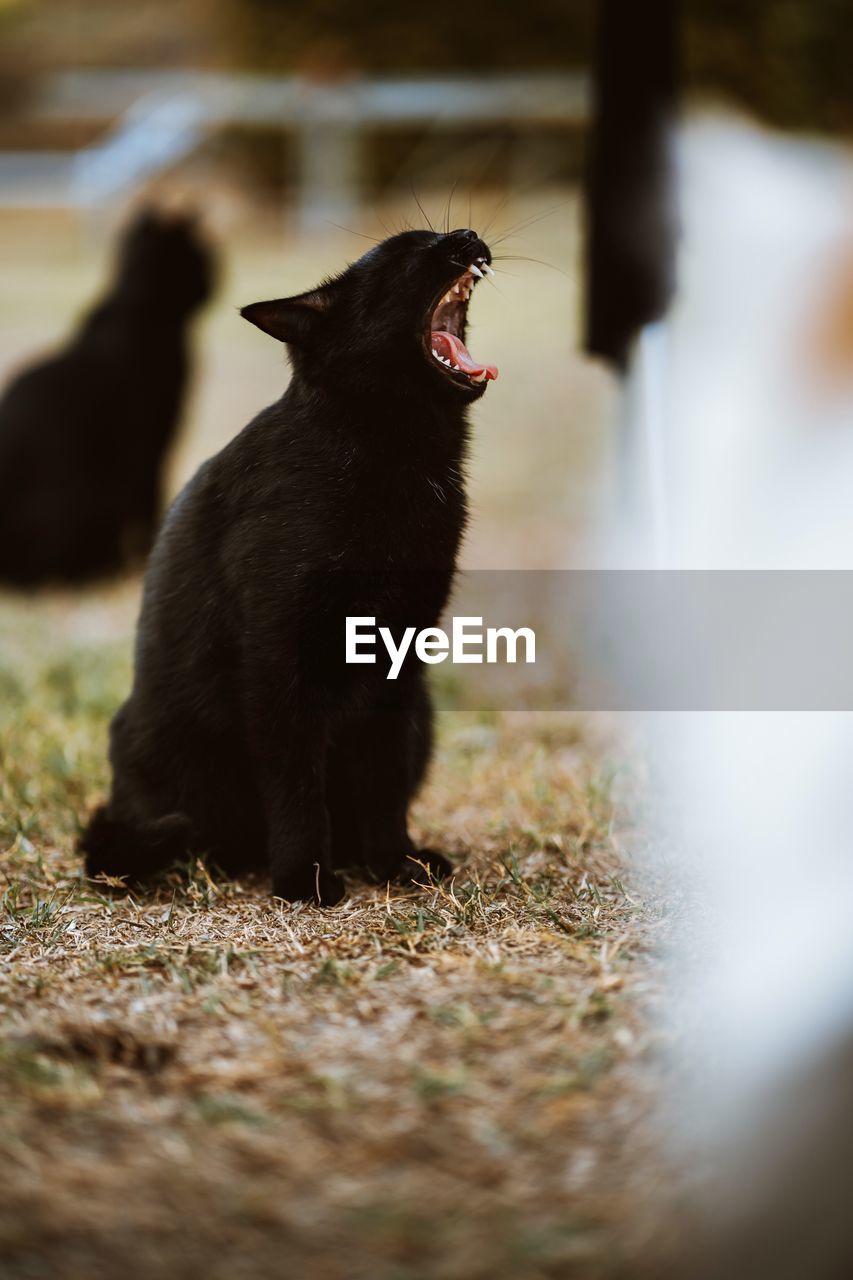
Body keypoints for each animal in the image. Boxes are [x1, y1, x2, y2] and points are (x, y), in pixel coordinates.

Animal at [80, 232, 499, 911]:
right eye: (409, 254)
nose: (465, 238)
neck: (393, 453)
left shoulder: (397, 662)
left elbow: (383, 775)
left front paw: (394, 862)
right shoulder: (279, 660)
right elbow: (296, 782)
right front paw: (306, 878)